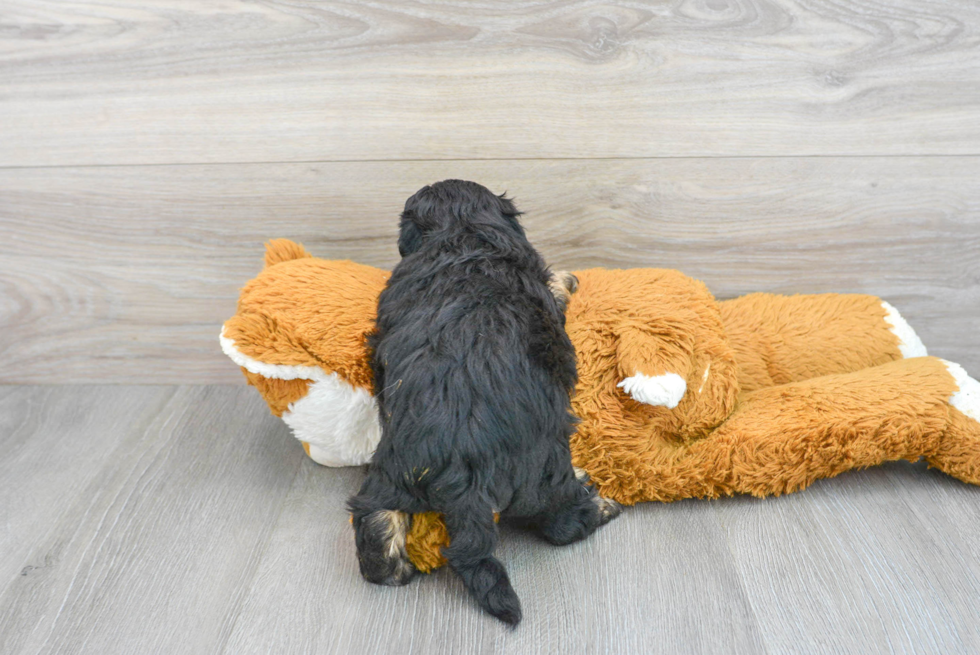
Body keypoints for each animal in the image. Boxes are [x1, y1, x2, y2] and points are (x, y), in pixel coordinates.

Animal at [346, 178, 620, 624]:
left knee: (374, 521)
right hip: (543, 472)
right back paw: (599, 505)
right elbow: (554, 285)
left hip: (390, 473)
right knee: (561, 525)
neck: (462, 231)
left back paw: (393, 568)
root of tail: (463, 471)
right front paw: (568, 278)